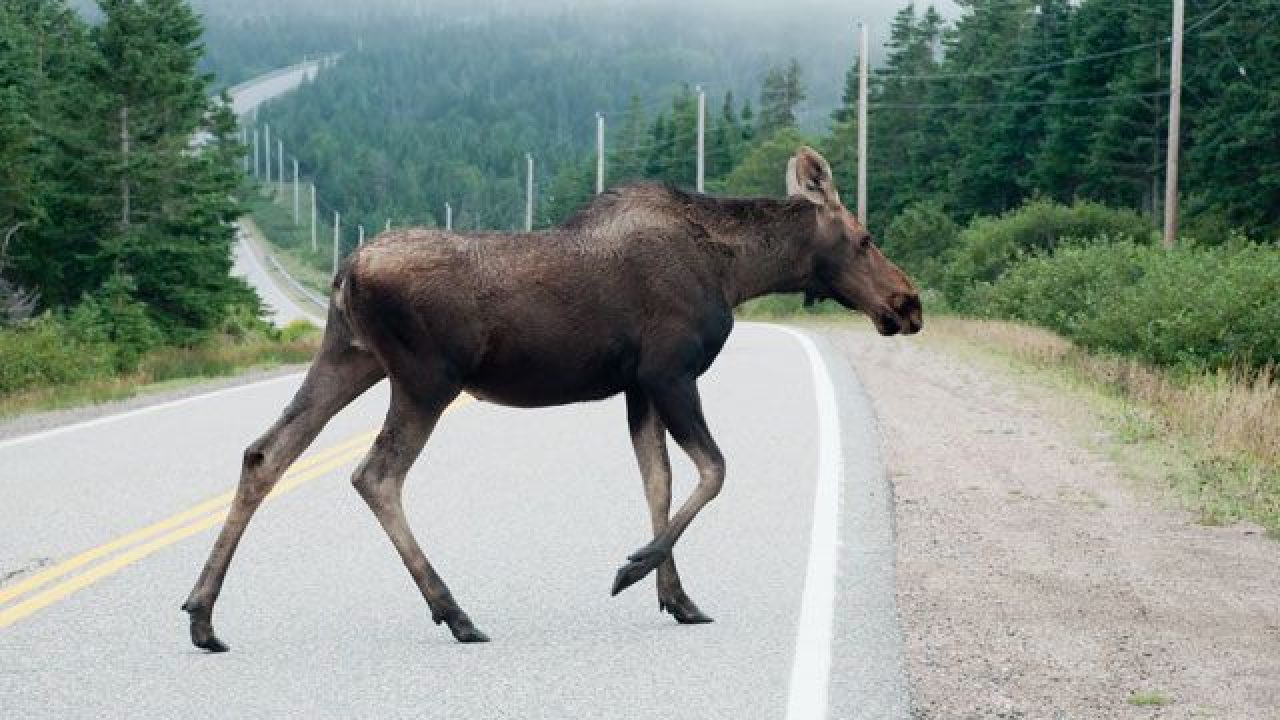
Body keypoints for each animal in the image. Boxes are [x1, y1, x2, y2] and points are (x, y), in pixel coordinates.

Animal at [183, 146, 921, 650]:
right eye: (864, 238)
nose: (908, 303)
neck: (736, 271)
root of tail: (345, 272)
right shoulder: (670, 373)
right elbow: (713, 470)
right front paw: (633, 569)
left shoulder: (637, 387)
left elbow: (659, 481)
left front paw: (677, 597)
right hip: (425, 379)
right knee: (375, 474)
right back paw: (455, 612)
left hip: (350, 357)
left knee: (266, 453)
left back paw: (203, 614)